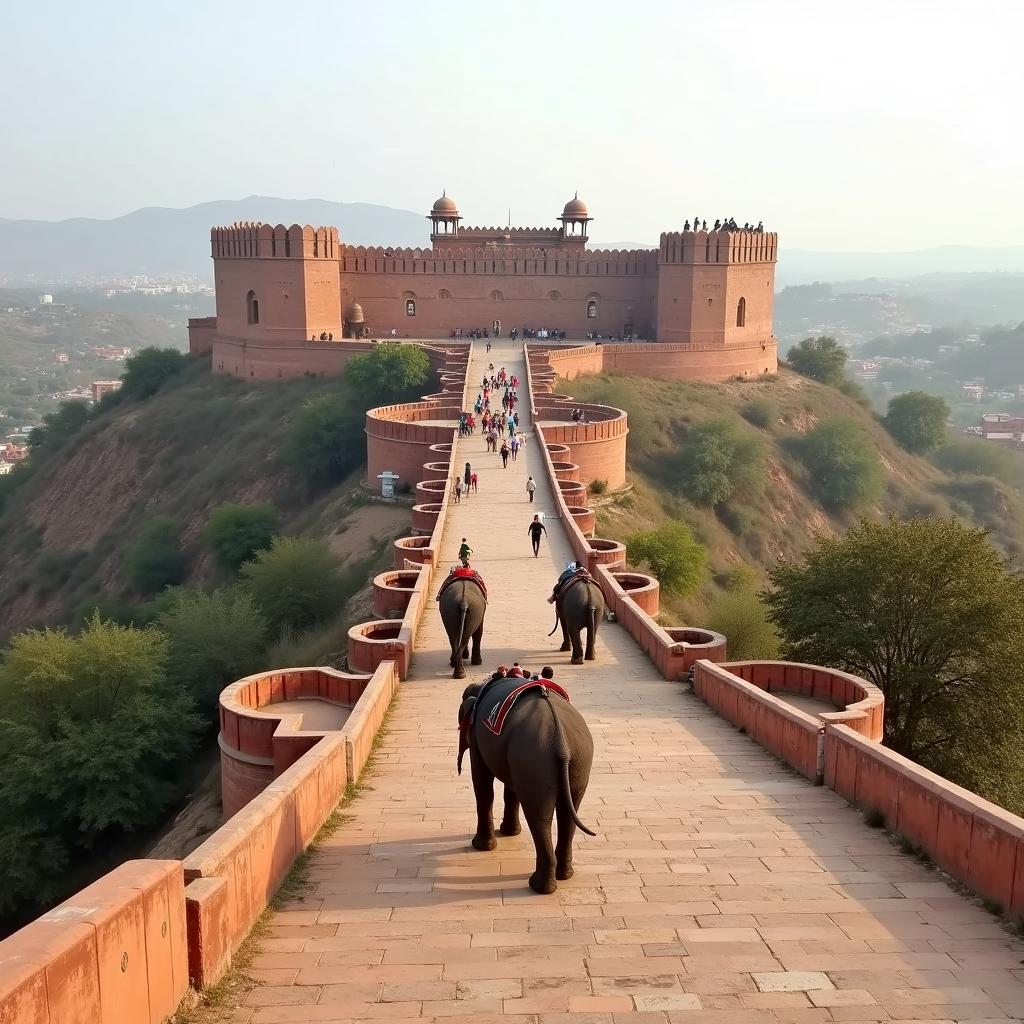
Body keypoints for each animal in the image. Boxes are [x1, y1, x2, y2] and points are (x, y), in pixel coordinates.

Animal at [454, 667, 593, 892]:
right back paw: (564, 875)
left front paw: (482, 846)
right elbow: (511, 789)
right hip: (575, 761)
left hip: (534, 758)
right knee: (567, 812)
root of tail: (561, 741)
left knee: (539, 816)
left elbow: (482, 784)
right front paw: (509, 833)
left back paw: (540, 886)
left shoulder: (476, 737)